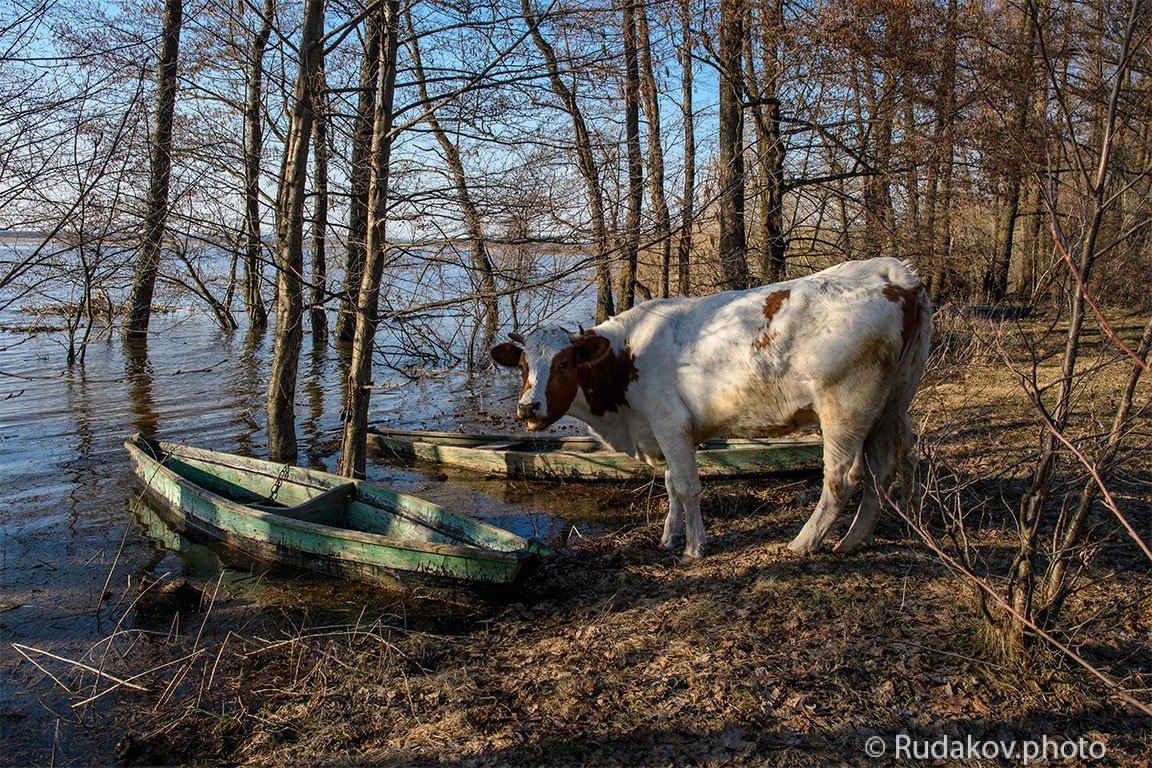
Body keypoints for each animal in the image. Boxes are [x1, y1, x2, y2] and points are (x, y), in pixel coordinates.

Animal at [490, 257, 930, 559]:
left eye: (563, 363)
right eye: (523, 366)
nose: (527, 408)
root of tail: (895, 275)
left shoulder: (670, 422)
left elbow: (687, 485)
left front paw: (694, 547)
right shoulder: (666, 430)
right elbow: (671, 483)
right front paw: (669, 537)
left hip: (845, 408)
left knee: (843, 477)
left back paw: (804, 542)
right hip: (891, 404)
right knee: (882, 469)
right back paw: (854, 540)